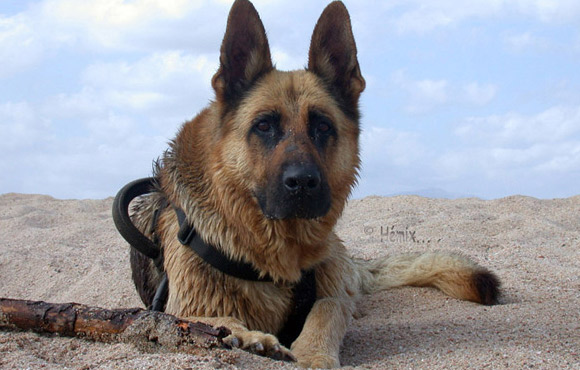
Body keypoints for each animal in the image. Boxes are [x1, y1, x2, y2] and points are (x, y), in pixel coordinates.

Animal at [127, 1, 498, 368]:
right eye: (264, 126)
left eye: (322, 126)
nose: (303, 182)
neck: (277, 254)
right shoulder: (183, 306)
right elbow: (215, 318)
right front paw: (249, 337)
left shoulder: (331, 290)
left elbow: (327, 310)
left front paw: (313, 354)